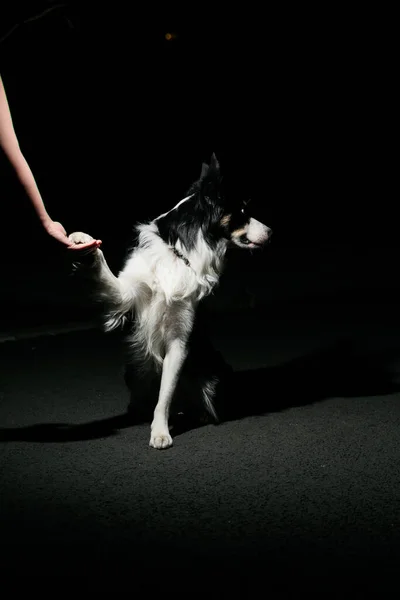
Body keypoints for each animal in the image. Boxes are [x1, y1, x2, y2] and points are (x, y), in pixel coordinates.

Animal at [71, 155, 272, 450]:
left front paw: (160, 432)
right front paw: (83, 243)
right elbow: (104, 271)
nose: (271, 232)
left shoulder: (180, 339)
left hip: (213, 373)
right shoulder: (126, 295)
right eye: (243, 211)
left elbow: (165, 394)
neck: (178, 253)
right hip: (133, 367)